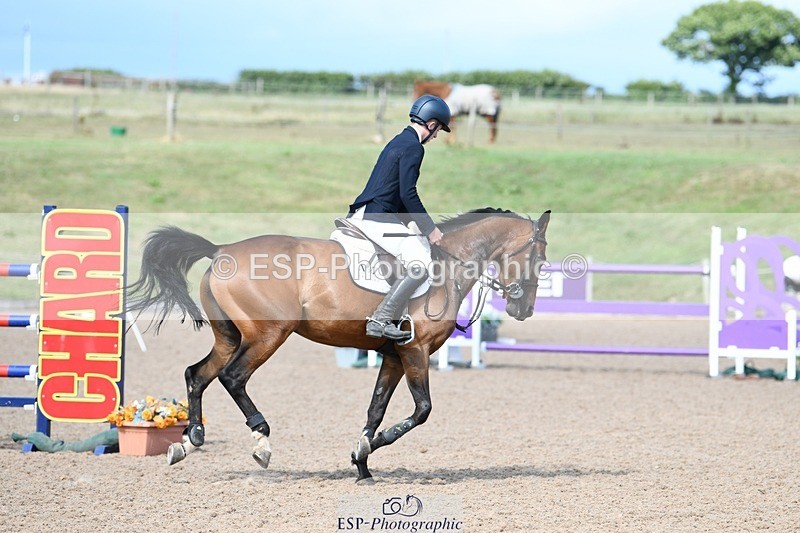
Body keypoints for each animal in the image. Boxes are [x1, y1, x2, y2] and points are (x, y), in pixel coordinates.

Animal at [127, 208, 550, 483]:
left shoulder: (393, 356)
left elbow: (376, 409)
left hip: (230, 337)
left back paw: (189, 441)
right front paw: (372, 447)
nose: (524, 309)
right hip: (268, 335)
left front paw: (362, 462)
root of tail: (221, 249)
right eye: (541, 257)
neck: (448, 265)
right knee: (233, 378)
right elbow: (422, 410)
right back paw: (261, 441)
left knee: (197, 374)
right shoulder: (415, 351)